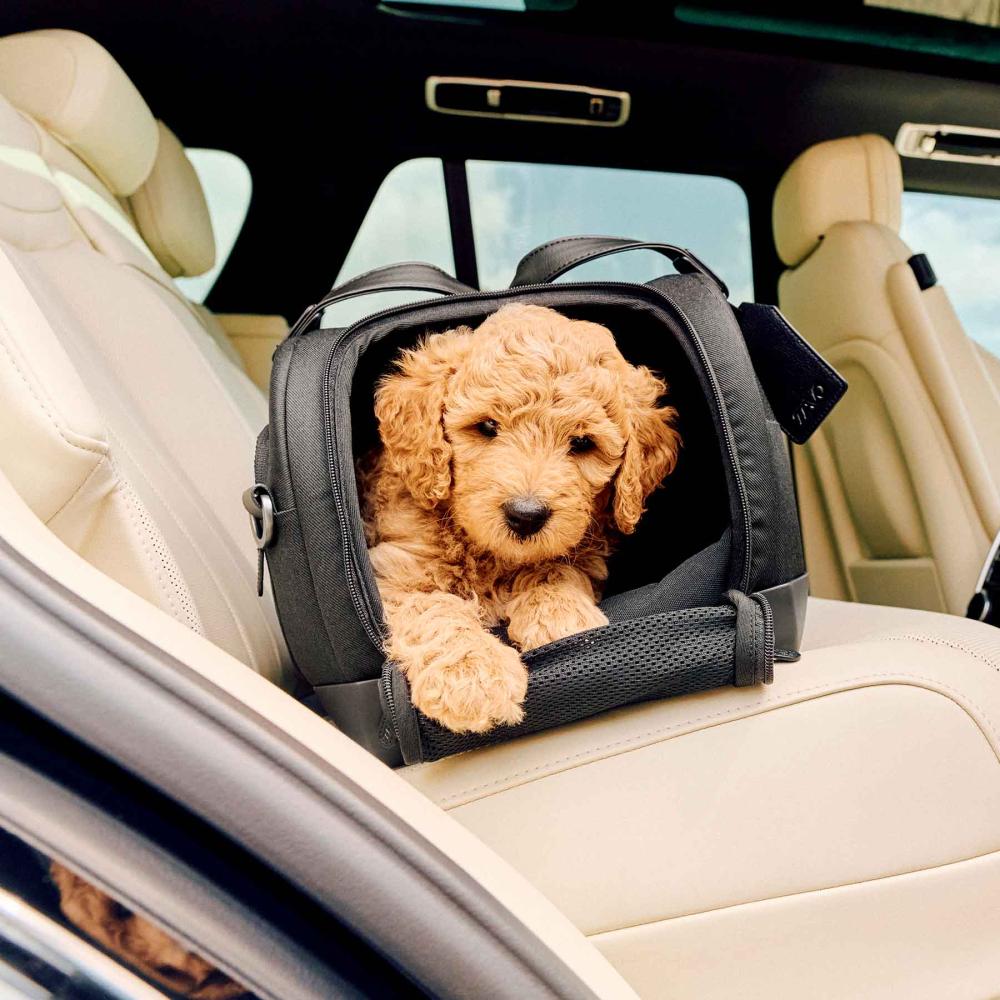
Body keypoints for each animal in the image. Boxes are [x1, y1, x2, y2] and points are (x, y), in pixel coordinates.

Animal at [368, 304, 680, 736]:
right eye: (486, 427)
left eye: (582, 443)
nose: (525, 515)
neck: (489, 555)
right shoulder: (398, 571)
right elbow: (435, 609)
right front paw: (471, 675)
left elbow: (555, 567)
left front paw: (561, 617)